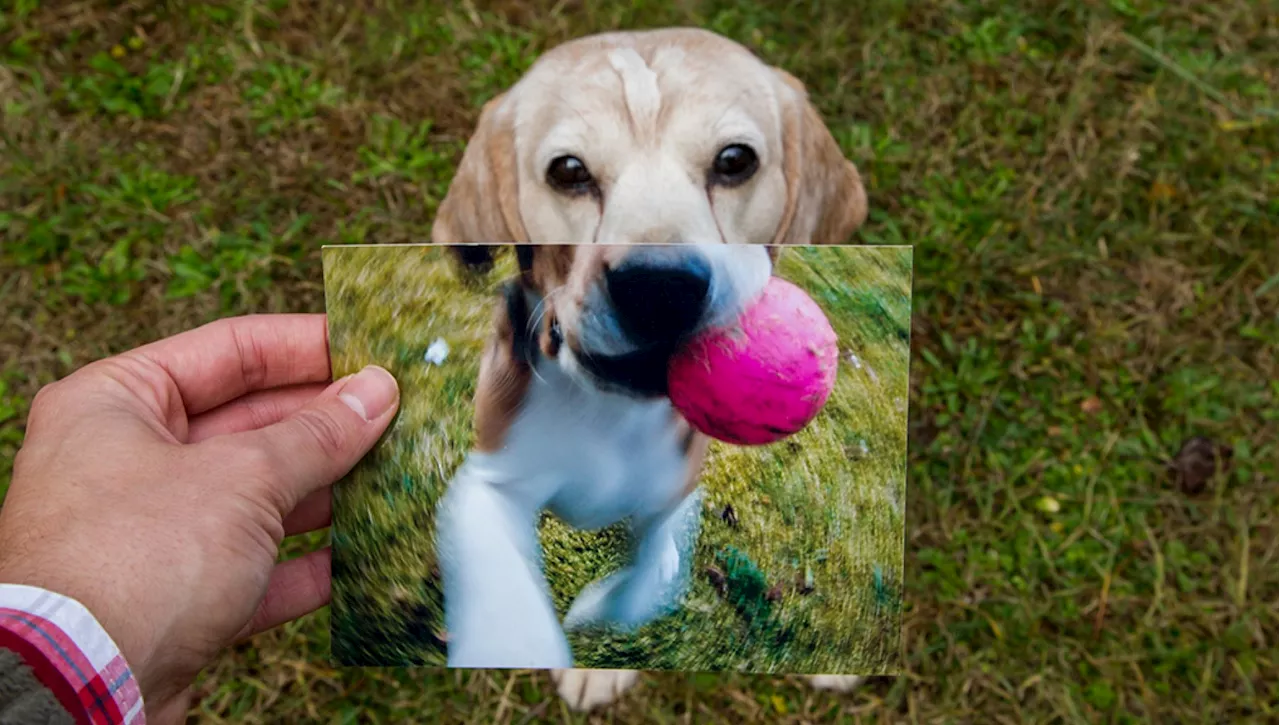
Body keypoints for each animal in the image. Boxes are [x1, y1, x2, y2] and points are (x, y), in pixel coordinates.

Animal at [430, 27, 870, 712]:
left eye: (735, 161)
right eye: (569, 172)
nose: (659, 287)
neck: (609, 416)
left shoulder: (677, 491)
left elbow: (651, 575)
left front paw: (599, 614)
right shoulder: (485, 483)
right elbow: (506, 586)